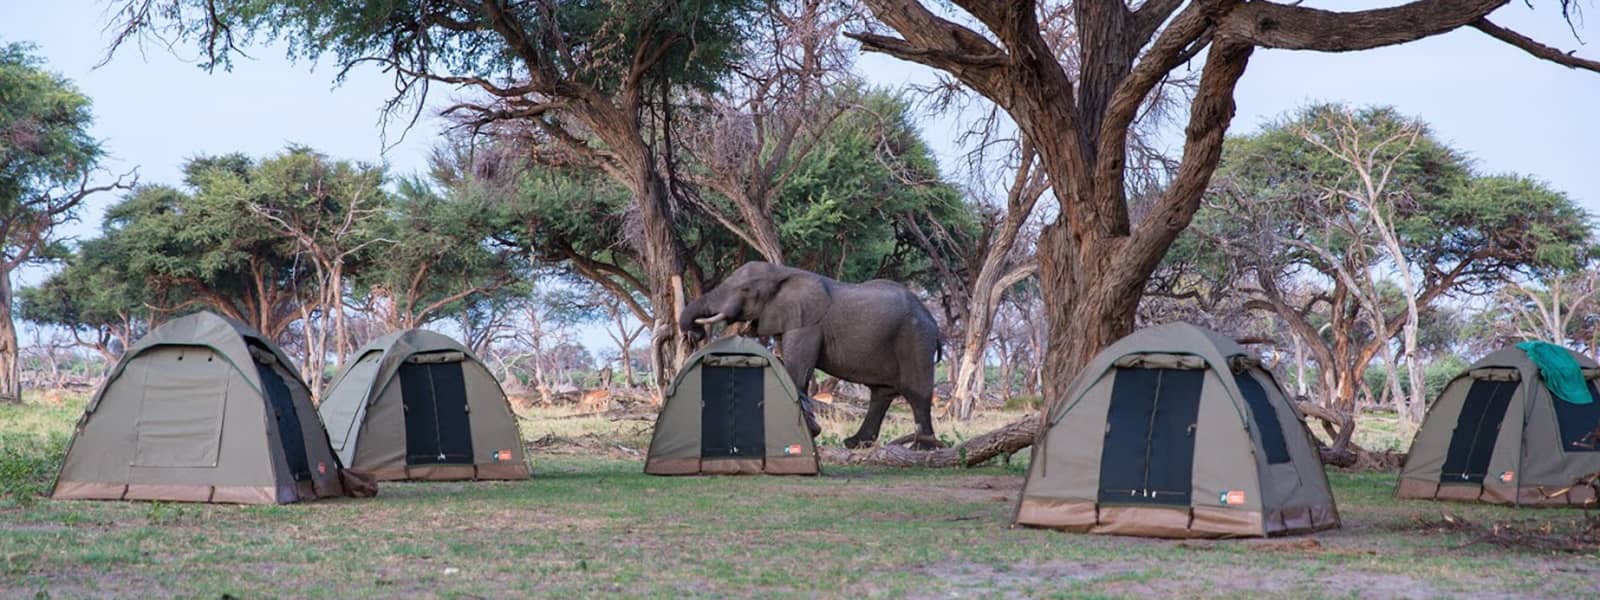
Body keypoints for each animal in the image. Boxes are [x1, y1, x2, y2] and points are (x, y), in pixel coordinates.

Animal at [680, 261, 942, 450]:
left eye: (745, 290)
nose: (695, 334)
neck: (783, 272)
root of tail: (932, 320)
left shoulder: (807, 324)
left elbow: (796, 370)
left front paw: (809, 431)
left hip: (915, 339)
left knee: (916, 392)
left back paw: (923, 448)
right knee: (881, 394)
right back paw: (854, 444)